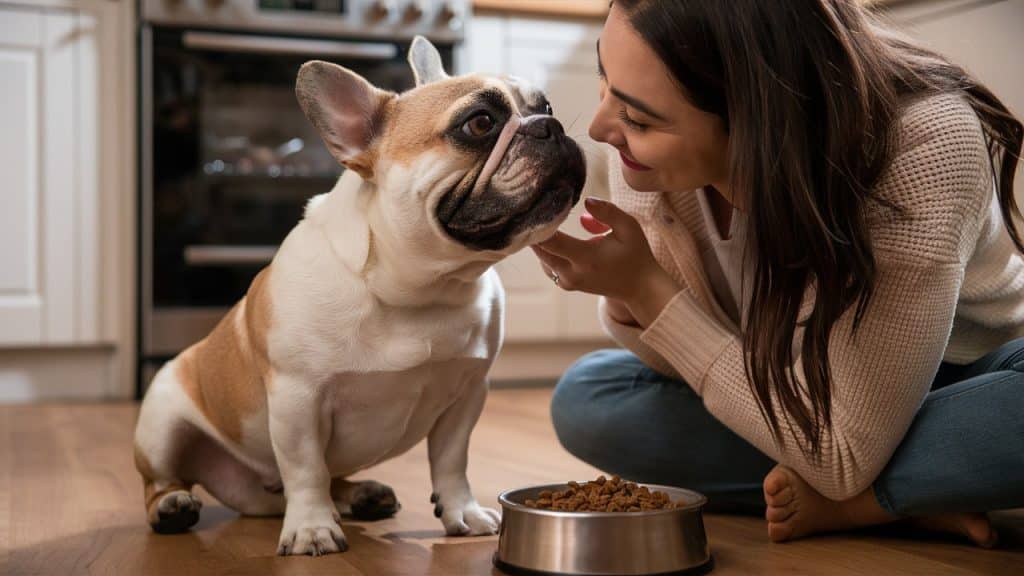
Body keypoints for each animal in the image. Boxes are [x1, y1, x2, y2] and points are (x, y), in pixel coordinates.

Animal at [132, 36, 589, 557]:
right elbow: (306, 469)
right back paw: (173, 507)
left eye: (546, 106)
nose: (551, 126)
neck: (420, 285)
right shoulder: (297, 400)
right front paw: (311, 528)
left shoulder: (468, 394)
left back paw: (361, 495)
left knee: (333, 478)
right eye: (479, 123)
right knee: (163, 480)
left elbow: (451, 461)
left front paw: (462, 513)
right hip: (162, 422)